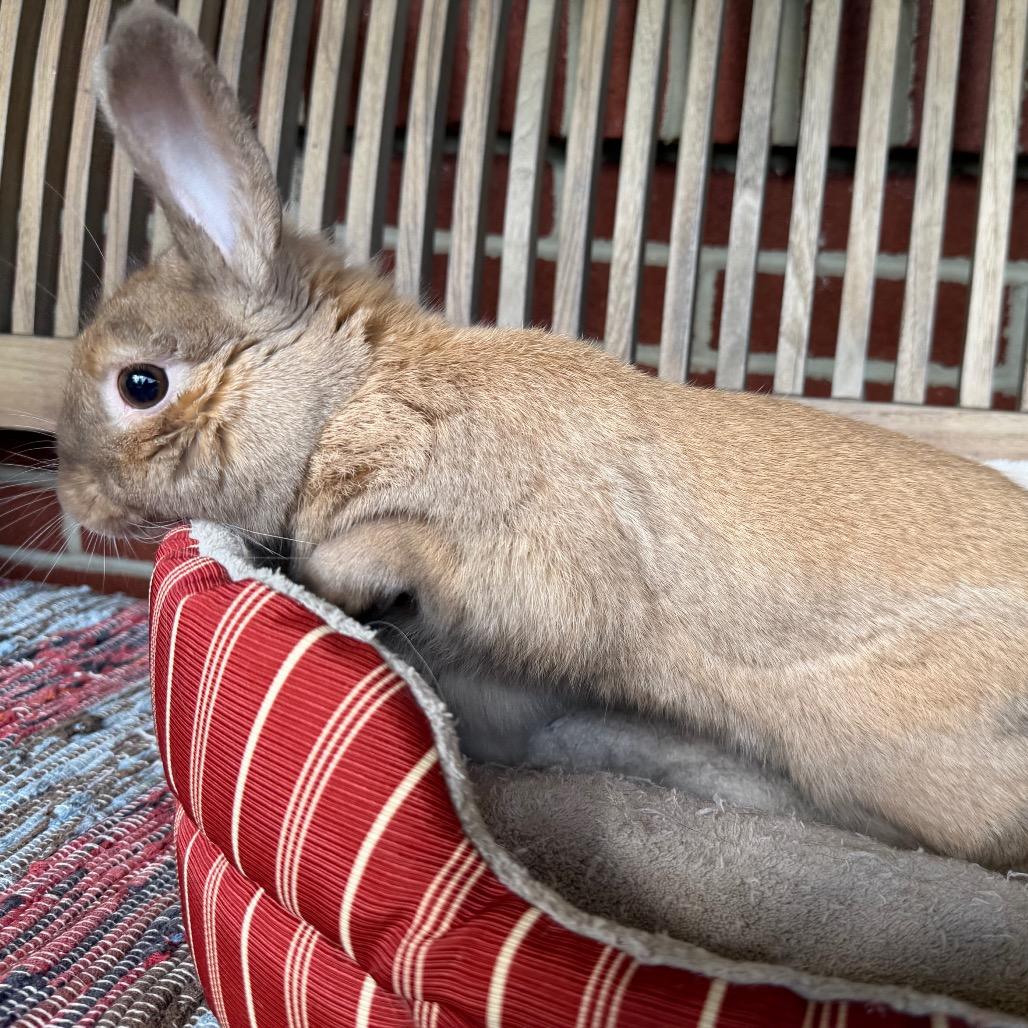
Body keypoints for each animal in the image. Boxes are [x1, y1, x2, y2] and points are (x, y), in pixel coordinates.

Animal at [56, 0, 1028, 868]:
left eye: (140, 385)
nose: (74, 504)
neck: (351, 395)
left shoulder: (514, 554)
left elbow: (396, 552)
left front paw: (331, 578)